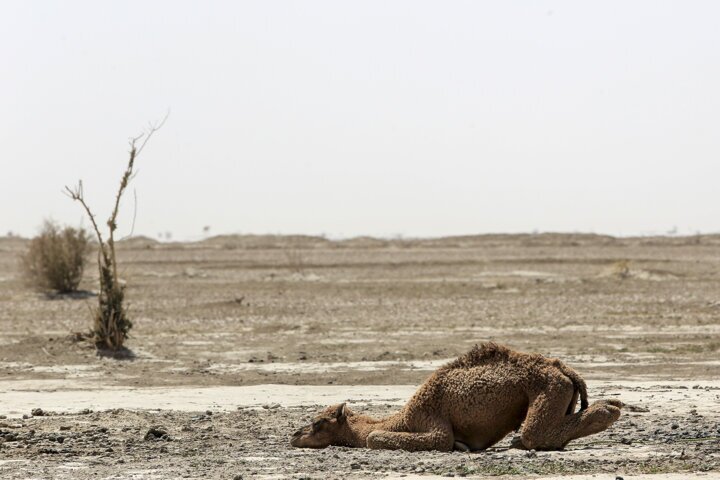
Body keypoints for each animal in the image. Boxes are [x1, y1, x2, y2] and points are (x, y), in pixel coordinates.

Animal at [290, 344, 620, 452]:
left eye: (318, 423)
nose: (294, 435)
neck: (402, 419)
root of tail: (565, 370)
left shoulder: (431, 421)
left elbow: (374, 438)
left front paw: (460, 447)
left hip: (548, 388)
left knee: (535, 433)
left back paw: (610, 409)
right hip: (559, 391)